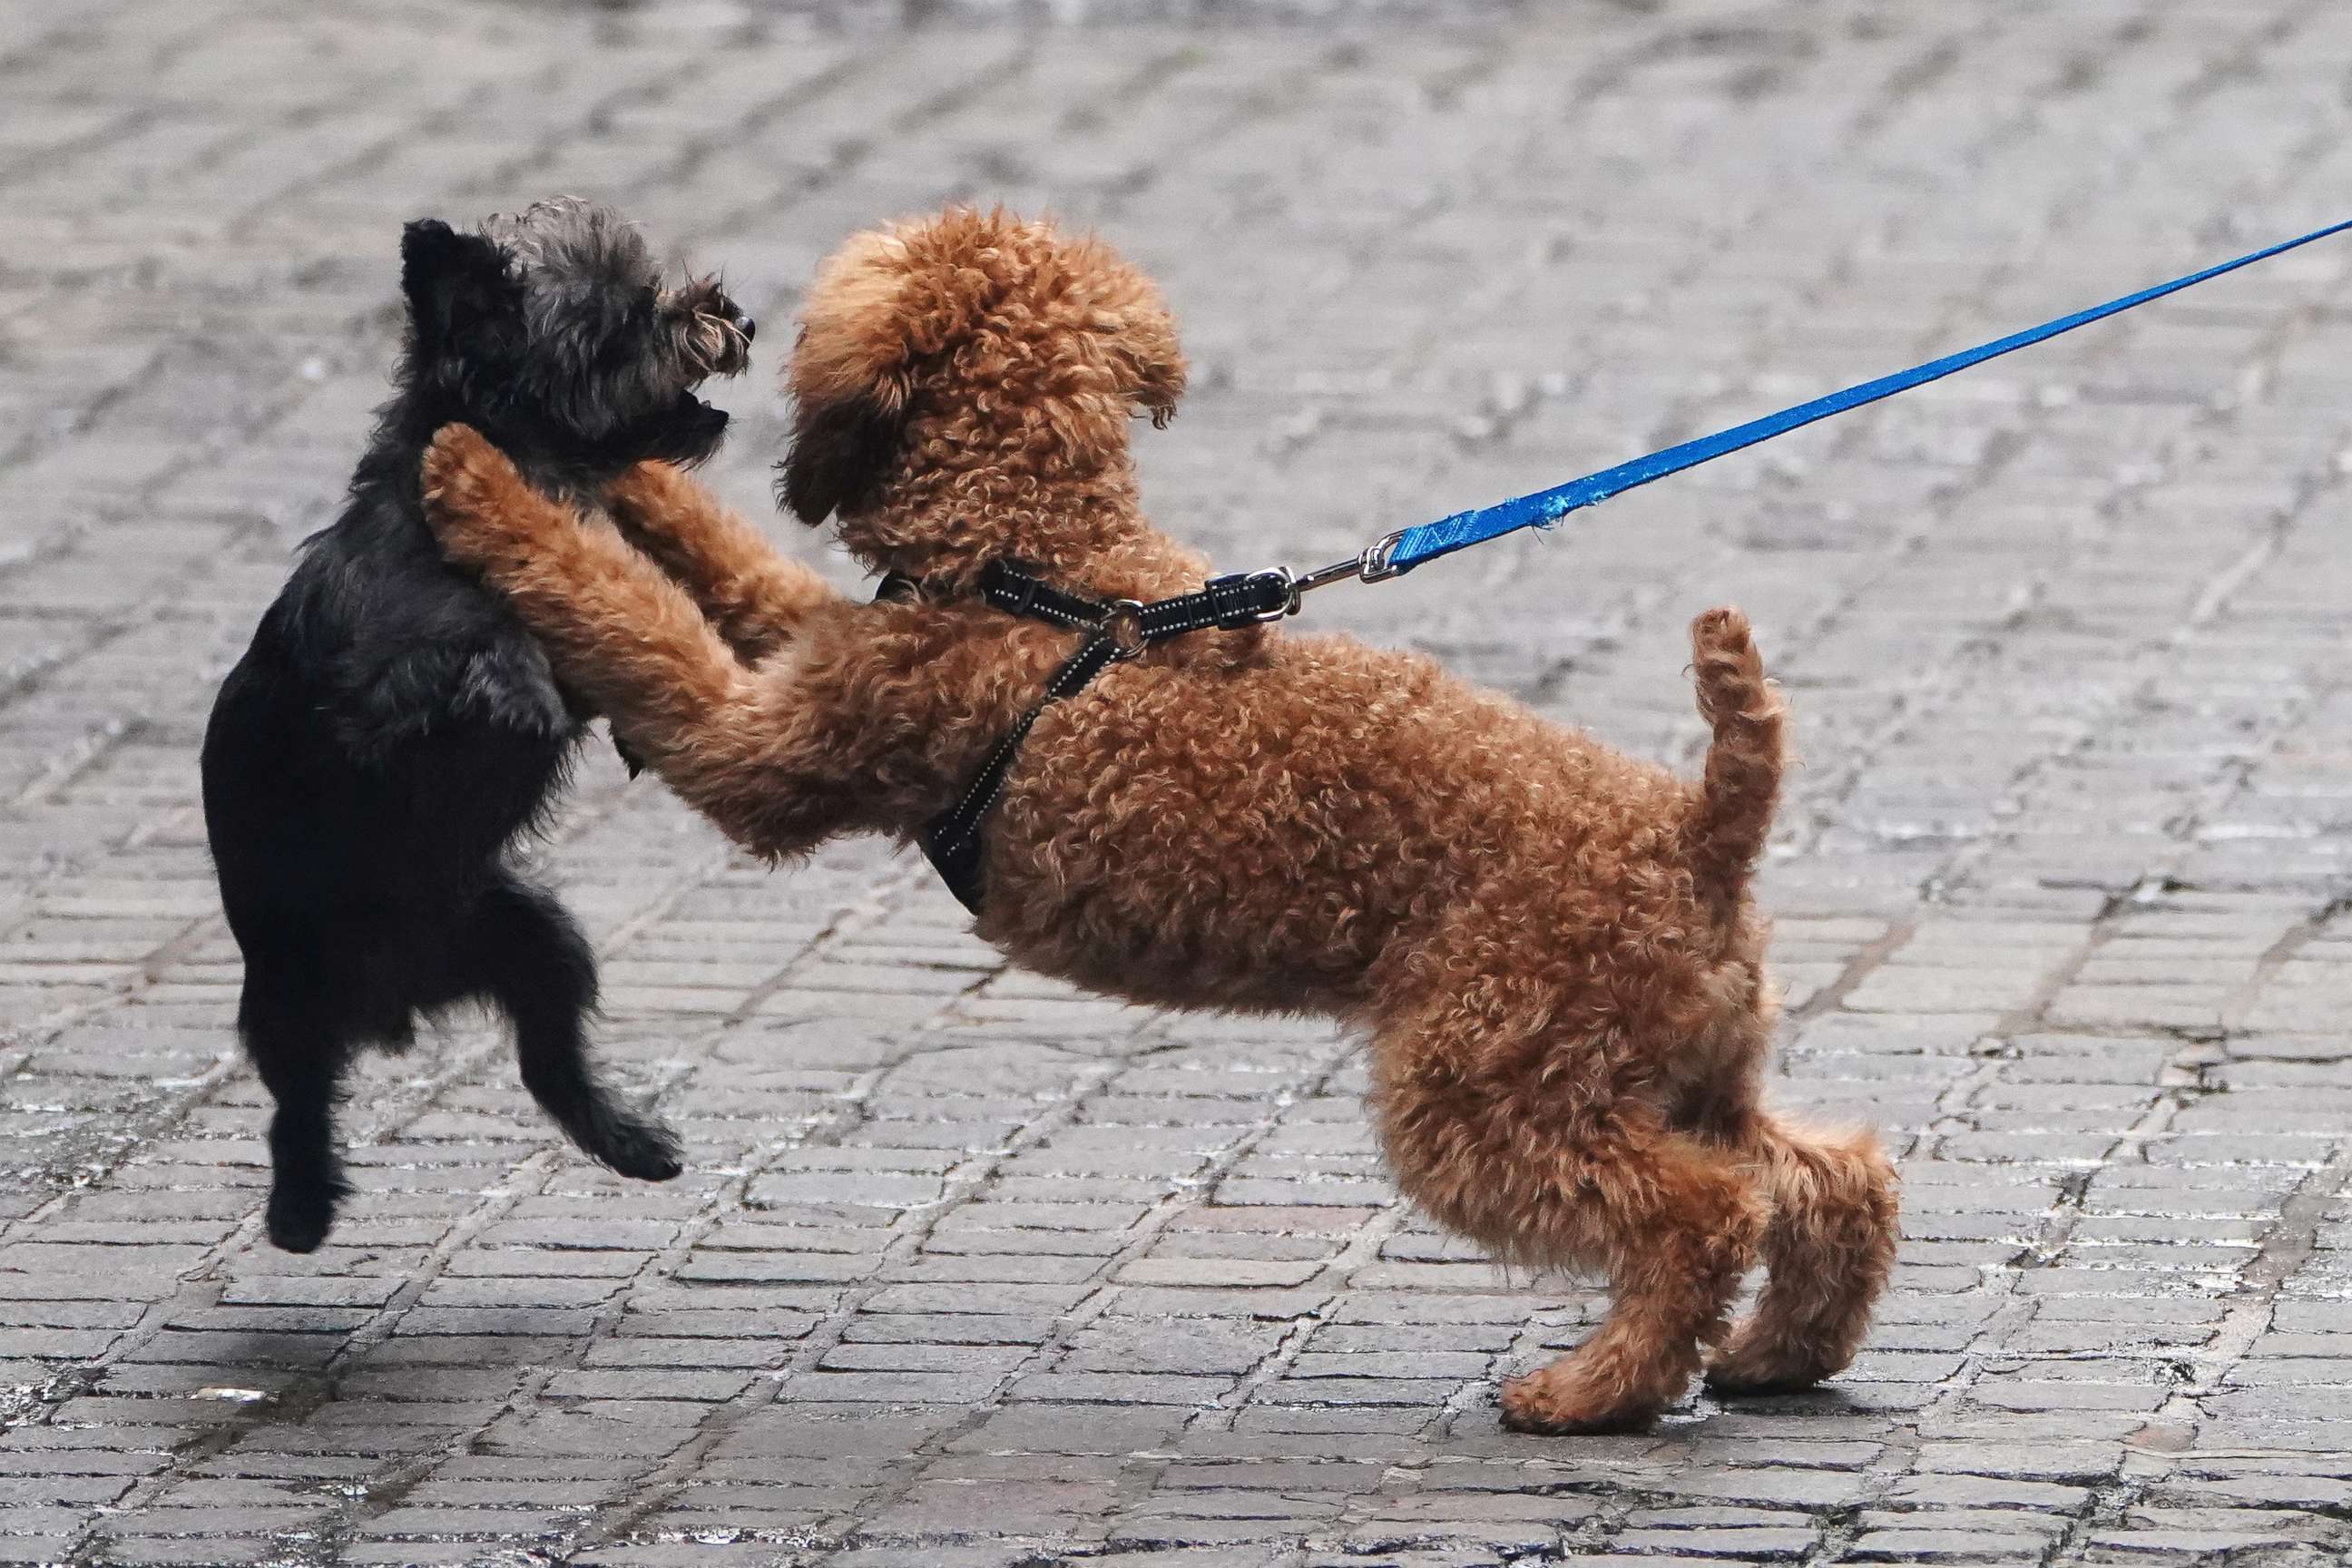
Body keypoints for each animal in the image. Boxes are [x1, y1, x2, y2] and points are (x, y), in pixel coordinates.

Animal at [205, 200, 752, 1250]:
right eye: (624, 322)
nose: (730, 310)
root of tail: (396, 1006)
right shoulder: (373, 699)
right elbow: (481, 654)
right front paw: (520, 687)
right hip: (292, 994)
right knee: (297, 1103)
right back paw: (300, 1209)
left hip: (533, 940)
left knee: (548, 1062)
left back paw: (631, 1142)